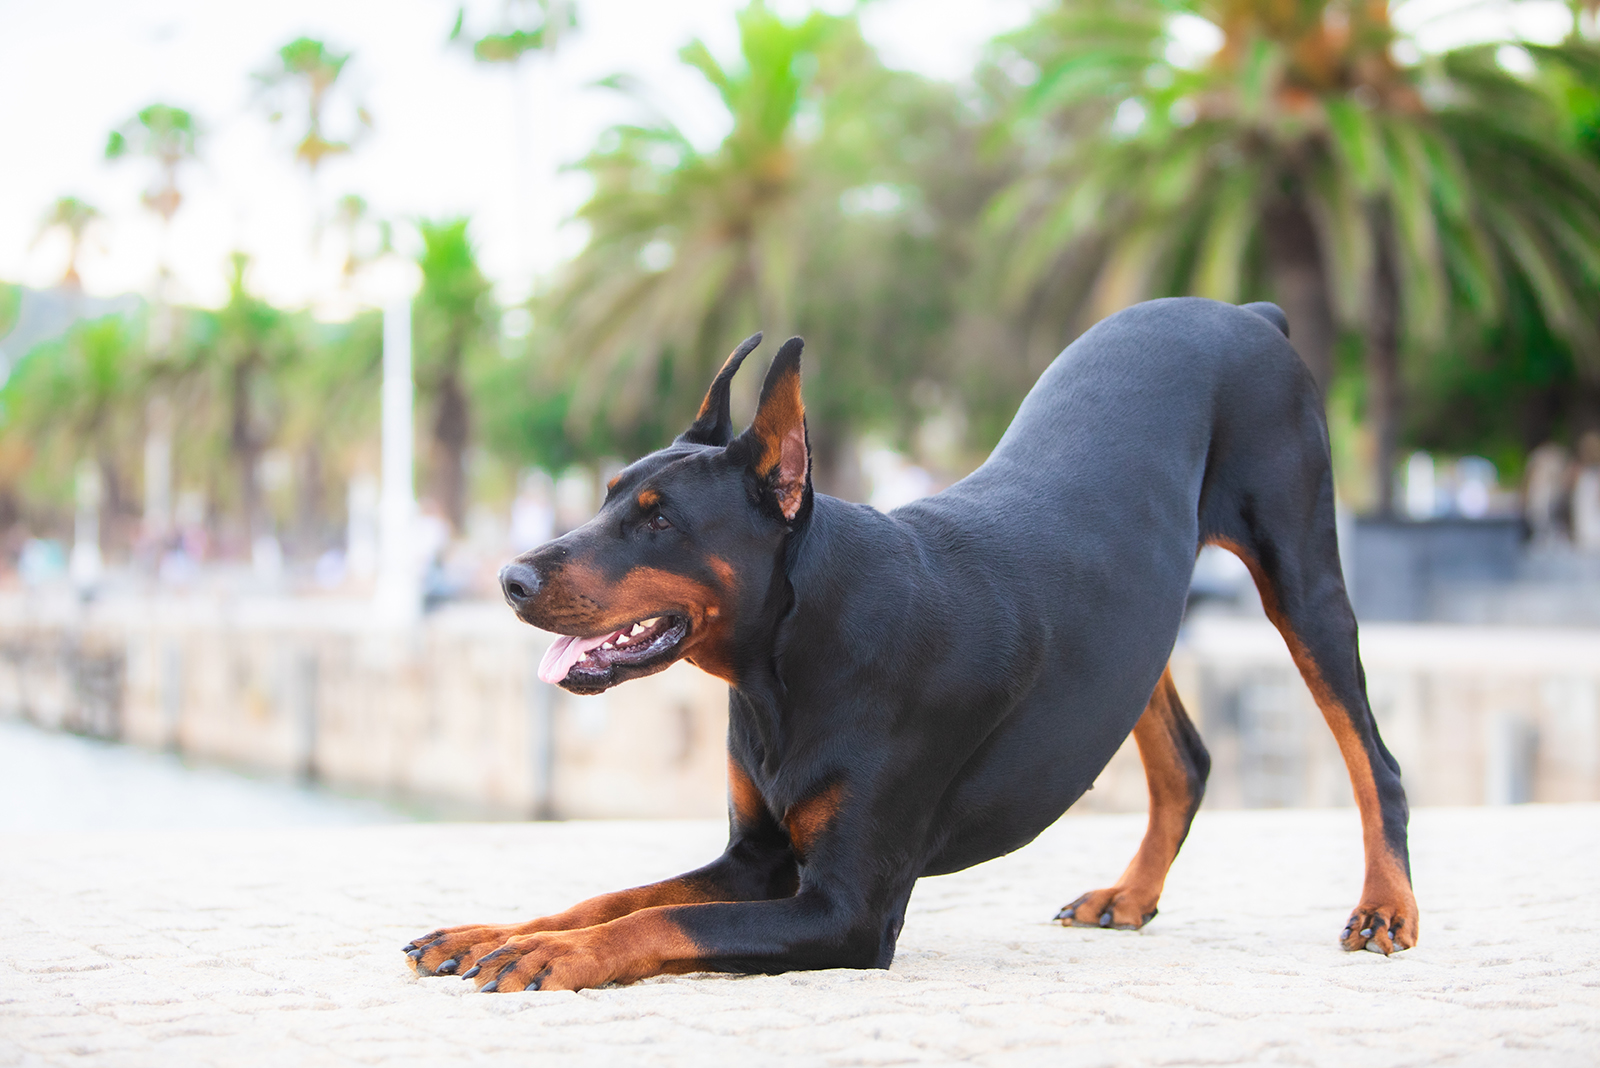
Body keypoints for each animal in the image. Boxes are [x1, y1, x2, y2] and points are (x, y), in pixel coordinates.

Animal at [409, 298, 1414, 991]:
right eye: (610, 492)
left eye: (658, 521)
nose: (511, 578)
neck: (794, 659)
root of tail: (1248, 312)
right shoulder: (755, 857)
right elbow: (619, 898)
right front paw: (501, 932)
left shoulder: (847, 910)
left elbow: (656, 925)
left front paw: (549, 956)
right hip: (1132, 627)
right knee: (1188, 760)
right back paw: (1129, 896)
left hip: (1302, 575)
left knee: (1375, 756)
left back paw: (1385, 909)